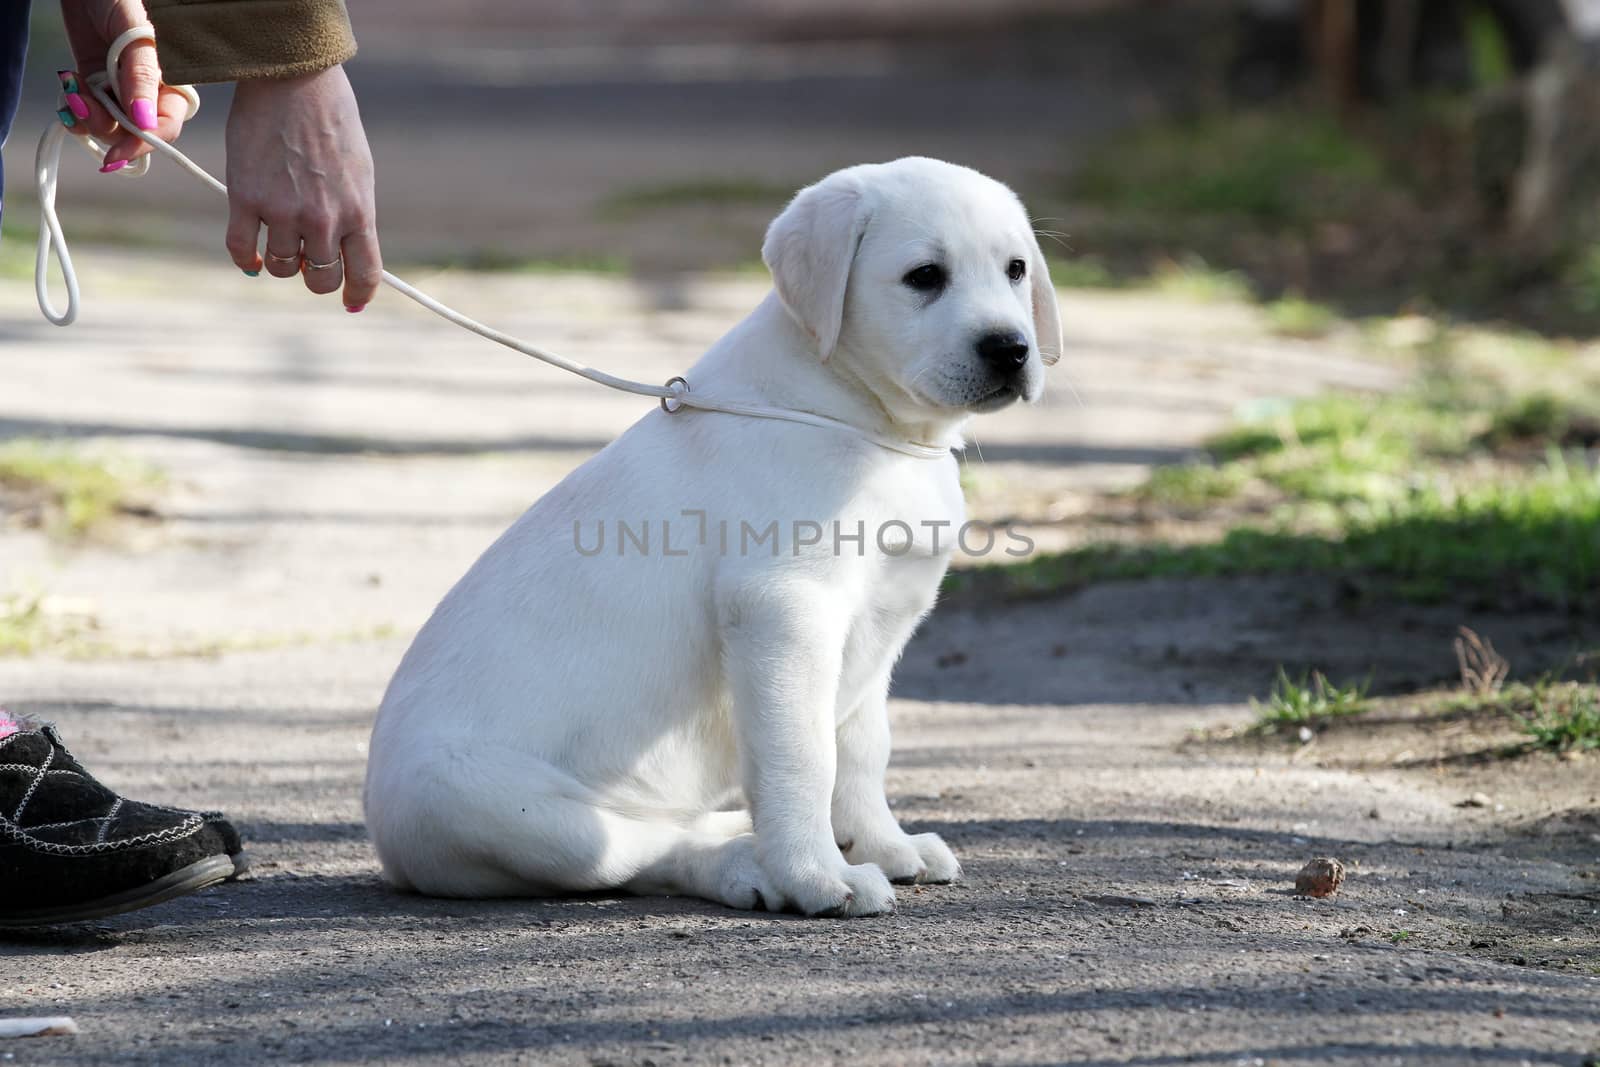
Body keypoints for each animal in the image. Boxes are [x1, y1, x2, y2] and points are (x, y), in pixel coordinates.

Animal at [364, 156, 1062, 921]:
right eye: (925, 276)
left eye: (1016, 269)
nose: (1011, 348)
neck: (859, 416)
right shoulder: (785, 610)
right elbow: (805, 759)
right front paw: (822, 875)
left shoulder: (878, 624)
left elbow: (861, 748)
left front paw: (882, 844)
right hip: (495, 806)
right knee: (641, 851)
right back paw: (750, 867)